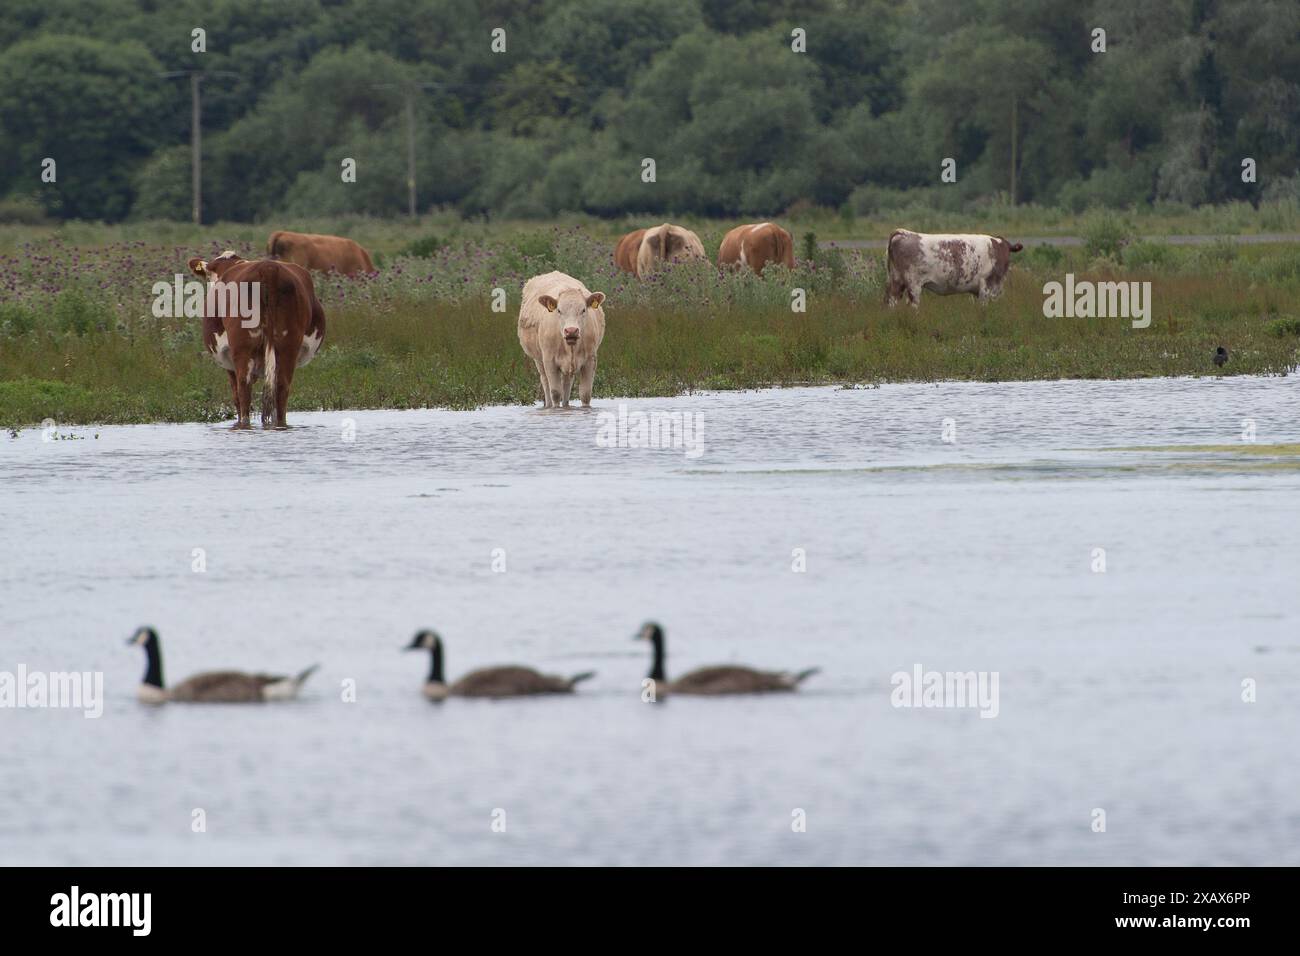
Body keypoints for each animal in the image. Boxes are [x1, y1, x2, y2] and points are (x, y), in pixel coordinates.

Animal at [185, 251, 327, 429]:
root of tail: (268, 267)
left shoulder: (229, 365)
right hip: (288, 346)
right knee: (281, 388)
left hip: (242, 348)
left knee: (244, 391)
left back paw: (245, 424)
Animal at [514, 270, 605, 408]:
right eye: (559, 310)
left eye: (583, 310)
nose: (571, 330)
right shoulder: (549, 361)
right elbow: (556, 393)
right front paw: (555, 409)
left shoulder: (590, 360)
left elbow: (585, 394)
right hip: (539, 360)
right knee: (545, 382)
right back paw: (548, 405)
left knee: (567, 383)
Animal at [883, 228, 1024, 306]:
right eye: (1005, 252)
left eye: (1008, 251)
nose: (1006, 262)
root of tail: (903, 233)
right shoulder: (986, 287)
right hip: (913, 284)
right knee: (912, 304)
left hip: (896, 280)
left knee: (891, 301)